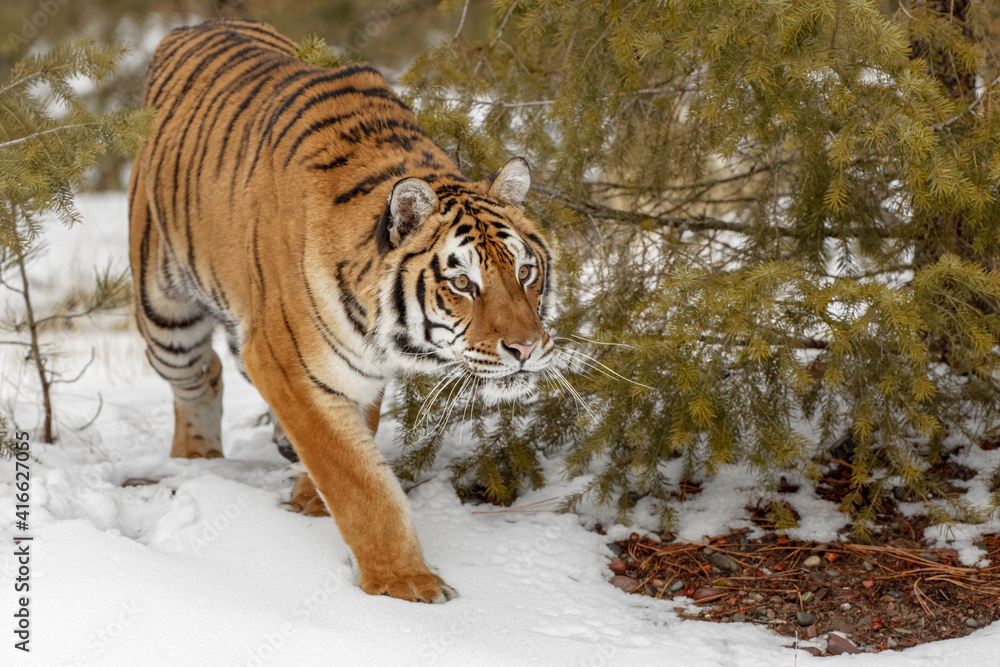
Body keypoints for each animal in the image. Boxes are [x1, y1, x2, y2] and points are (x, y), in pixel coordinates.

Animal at [128, 18, 555, 604]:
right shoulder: (283, 359)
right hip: (166, 318)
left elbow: (358, 439)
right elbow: (358, 480)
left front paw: (311, 497)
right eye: (463, 282)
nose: (526, 348)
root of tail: (193, 26)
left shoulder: (357, 367)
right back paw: (196, 458)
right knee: (201, 373)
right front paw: (405, 582)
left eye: (525, 273)